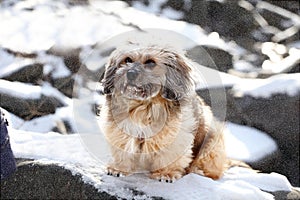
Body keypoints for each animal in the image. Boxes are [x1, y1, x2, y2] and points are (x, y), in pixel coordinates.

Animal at [98, 43, 232, 183]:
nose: (130, 74)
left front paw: (166, 174)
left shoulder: (175, 137)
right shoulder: (120, 131)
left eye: (150, 62)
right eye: (128, 59)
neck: (143, 105)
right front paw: (119, 168)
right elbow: (123, 150)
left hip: (213, 142)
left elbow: (168, 156)